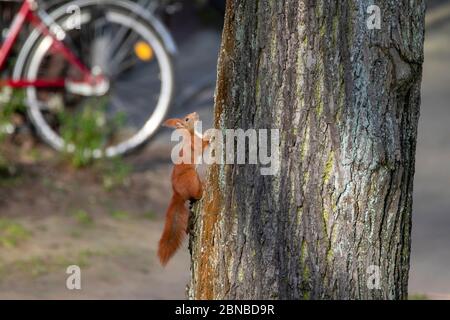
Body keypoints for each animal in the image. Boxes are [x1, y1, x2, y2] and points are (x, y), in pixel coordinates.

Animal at [158, 112, 211, 264]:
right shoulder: (197, 144)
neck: (191, 133)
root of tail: (178, 193)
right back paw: (204, 188)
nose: (196, 114)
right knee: (197, 195)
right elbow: (204, 144)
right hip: (191, 177)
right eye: (187, 119)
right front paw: (211, 136)